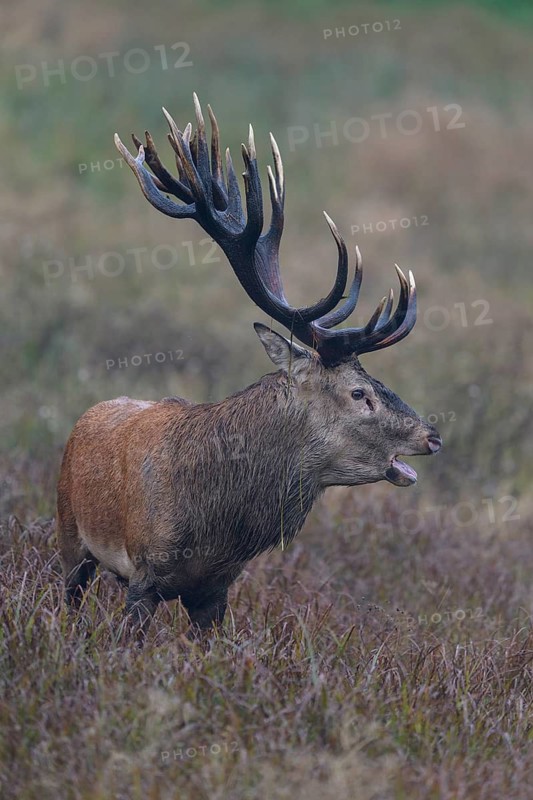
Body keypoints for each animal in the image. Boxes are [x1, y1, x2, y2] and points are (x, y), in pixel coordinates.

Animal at [56, 94, 442, 640]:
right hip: (69, 536)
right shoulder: (143, 574)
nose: (433, 435)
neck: (217, 528)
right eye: (359, 393)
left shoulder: (217, 590)